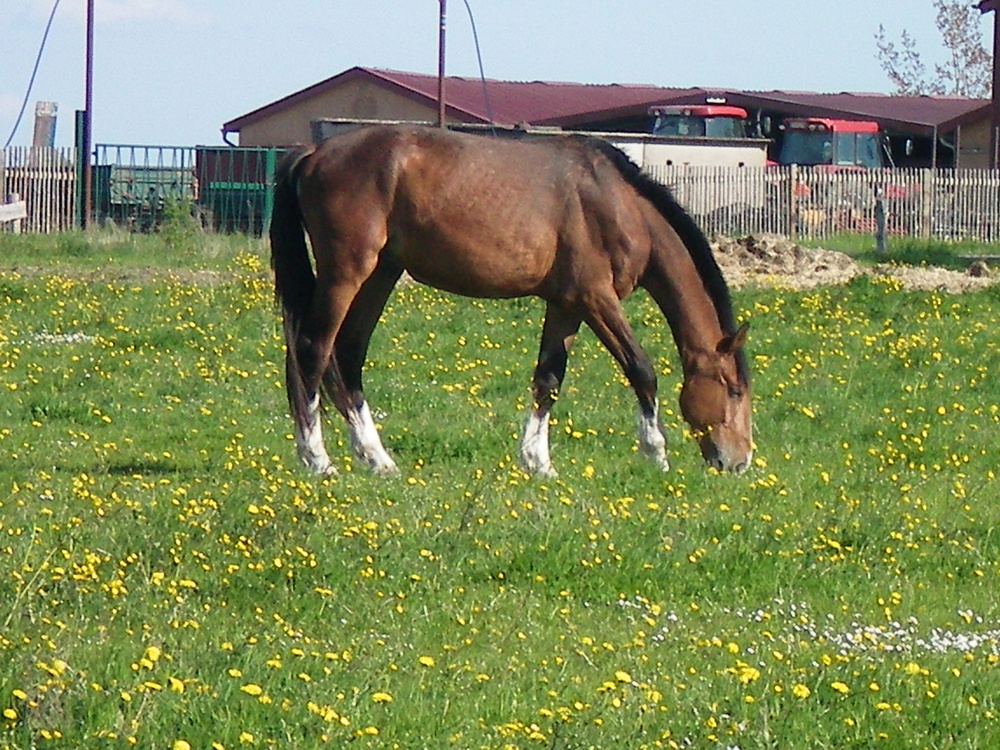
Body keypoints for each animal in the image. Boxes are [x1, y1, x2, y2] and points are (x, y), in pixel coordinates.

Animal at [270, 123, 752, 476]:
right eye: (732, 389)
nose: (740, 461)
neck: (618, 202)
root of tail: (312, 151)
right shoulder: (597, 299)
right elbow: (641, 370)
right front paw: (656, 453)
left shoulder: (566, 305)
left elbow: (548, 380)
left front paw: (538, 463)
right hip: (347, 271)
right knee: (313, 350)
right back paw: (318, 460)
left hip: (380, 275)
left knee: (348, 356)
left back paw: (377, 459)